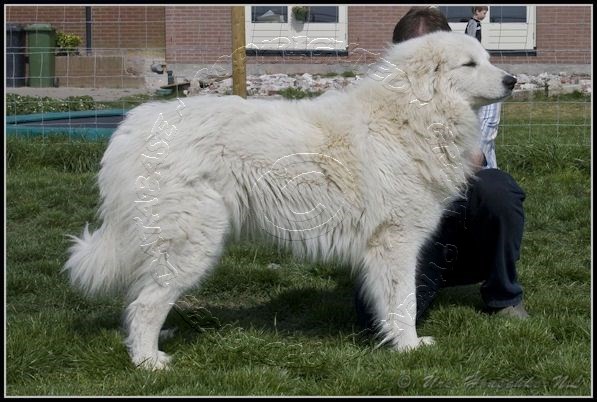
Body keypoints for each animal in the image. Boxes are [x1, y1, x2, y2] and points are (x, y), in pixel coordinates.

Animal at [64, 31, 517, 370]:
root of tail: (133, 127)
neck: (412, 113)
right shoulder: (395, 242)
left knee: (141, 295)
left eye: (488, 59)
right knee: (146, 303)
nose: (512, 80)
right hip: (192, 241)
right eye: (470, 65)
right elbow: (404, 300)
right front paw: (408, 346)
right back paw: (148, 362)